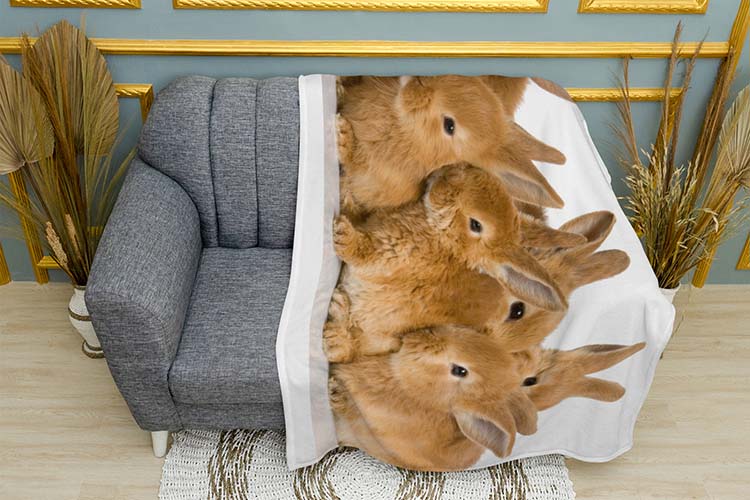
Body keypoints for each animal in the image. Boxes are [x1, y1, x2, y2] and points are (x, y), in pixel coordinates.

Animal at [324, 163, 587, 362]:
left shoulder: (388, 251)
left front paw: (343, 234)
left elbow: (362, 251)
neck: (447, 243)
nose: (444, 175)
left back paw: (335, 329)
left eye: (476, 224)